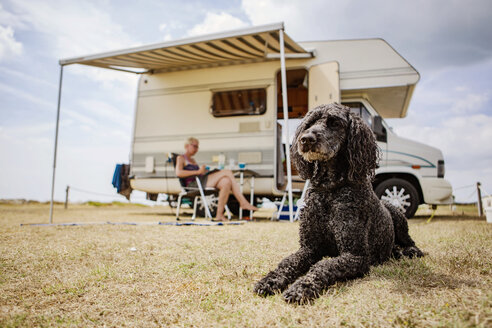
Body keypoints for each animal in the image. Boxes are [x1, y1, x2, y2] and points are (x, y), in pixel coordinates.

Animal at [254, 104, 422, 304]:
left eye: (334, 123)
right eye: (309, 124)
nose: (306, 139)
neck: (329, 189)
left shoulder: (356, 255)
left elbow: (323, 266)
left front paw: (302, 287)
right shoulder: (309, 247)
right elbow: (288, 262)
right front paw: (270, 280)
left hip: (398, 215)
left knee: (412, 243)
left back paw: (409, 251)